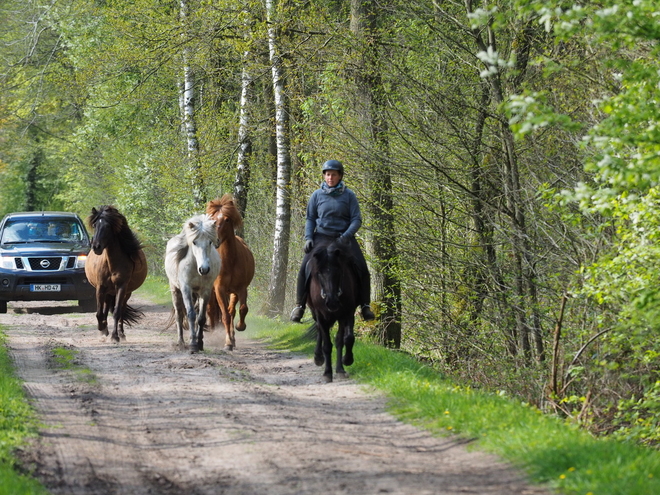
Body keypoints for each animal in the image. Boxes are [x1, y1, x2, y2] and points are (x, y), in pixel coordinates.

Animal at [85, 204, 148, 340]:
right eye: (95, 225)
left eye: (108, 226)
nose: (96, 247)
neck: (111, 264)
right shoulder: (100, 287)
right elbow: (99, 313)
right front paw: (102, 329)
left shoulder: (121, 287)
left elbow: (117, 312)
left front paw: (115, 336)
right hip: (108, 292)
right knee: (105, 308)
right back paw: (105, 329)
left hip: (126, 293)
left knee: (121, 310)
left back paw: (121, 333)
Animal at [164, 216, 220, 352]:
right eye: (194, 242)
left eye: (210, 242)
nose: (204, 269)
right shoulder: (186, 289)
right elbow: (191, 314)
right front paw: (193, 344)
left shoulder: (205, 290)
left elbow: (201, 318)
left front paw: (199, 343)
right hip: (175, 290)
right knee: (179, 315)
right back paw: (181, 342)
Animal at [206, 195, 255, 352]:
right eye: (212, 219)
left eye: (227, 219)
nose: (215, 240)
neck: (229, 260)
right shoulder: (220, 289)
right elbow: (225, 316)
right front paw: (227, 343)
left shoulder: (241, 289)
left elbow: (243, 309)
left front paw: (240, 327)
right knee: (212, 310)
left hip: (232, 292)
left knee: (232, 310)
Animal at [306, 236, 358, 384]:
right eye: (319, 273)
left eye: (339, 271)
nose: (332, 302)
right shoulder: (321, 315)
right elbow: (327, 345)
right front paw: (327, 373)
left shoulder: (347, 313)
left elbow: (345, 339)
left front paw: (344, 364)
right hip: (315, 313)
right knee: (319, 330)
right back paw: (318, 357)